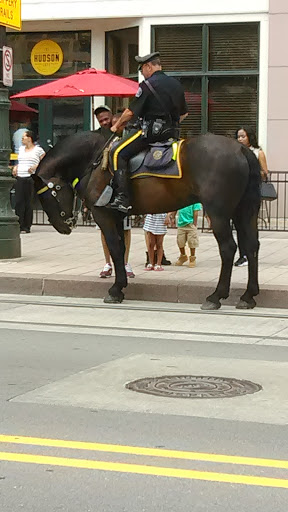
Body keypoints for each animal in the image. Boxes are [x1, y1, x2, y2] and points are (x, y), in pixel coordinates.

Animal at [32, 131, 260, 308]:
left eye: (49, 195)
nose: (63, 227)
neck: (93, 161)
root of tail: (242, 149)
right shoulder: (118, 216)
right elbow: (121, 248)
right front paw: (121, 285)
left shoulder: (103, 215)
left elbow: (115, 248)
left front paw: (116, 289)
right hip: (245, 210)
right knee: (251, 246)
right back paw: (248, 295)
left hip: (219, 213)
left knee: (228, 248)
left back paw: (216, 296)